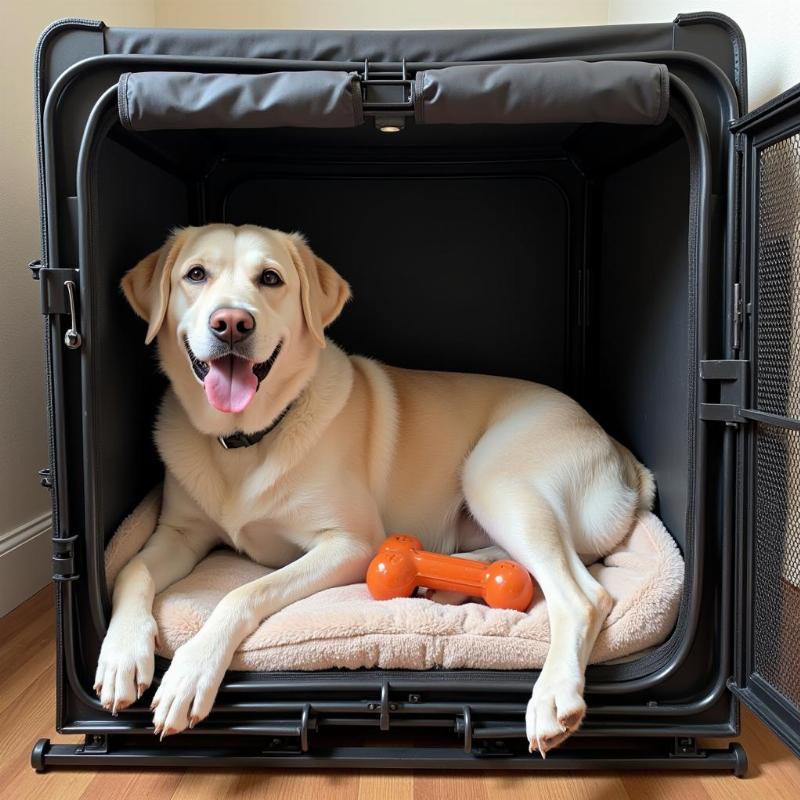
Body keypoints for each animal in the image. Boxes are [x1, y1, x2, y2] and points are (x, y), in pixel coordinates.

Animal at [97, 222, 652, 752]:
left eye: (270, 278)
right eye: (195, 275)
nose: (232, 322)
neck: (248, 440)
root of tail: (617, 451)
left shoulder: (351, 544)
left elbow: (243, 592)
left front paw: (191, 672)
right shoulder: (179, 533)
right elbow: (130, 569)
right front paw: (121, 653)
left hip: (493, 475)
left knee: (583, 597)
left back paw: (553, 695)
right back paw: (450, 583)